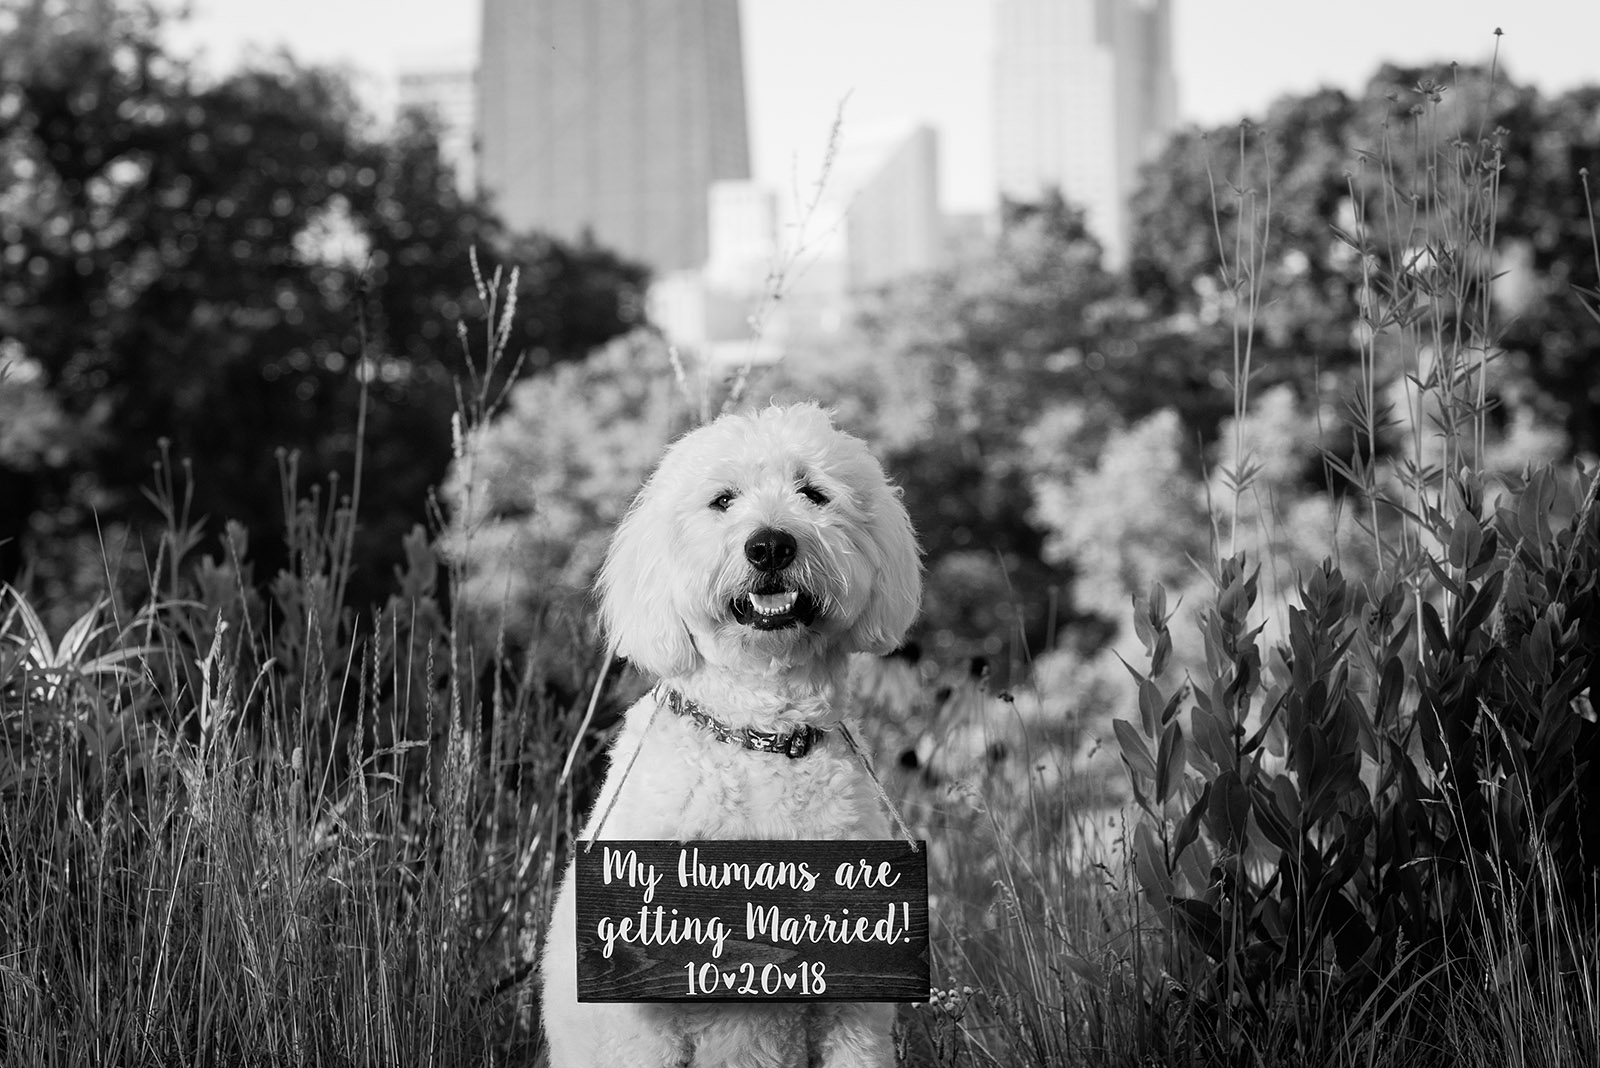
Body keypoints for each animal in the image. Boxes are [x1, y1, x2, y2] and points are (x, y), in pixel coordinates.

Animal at [537, 402, 921, 1068]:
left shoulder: (853, 1014)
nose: (769, 546)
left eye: (813, 492)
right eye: (722, 500)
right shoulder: (645, 1021)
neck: (759, 735)